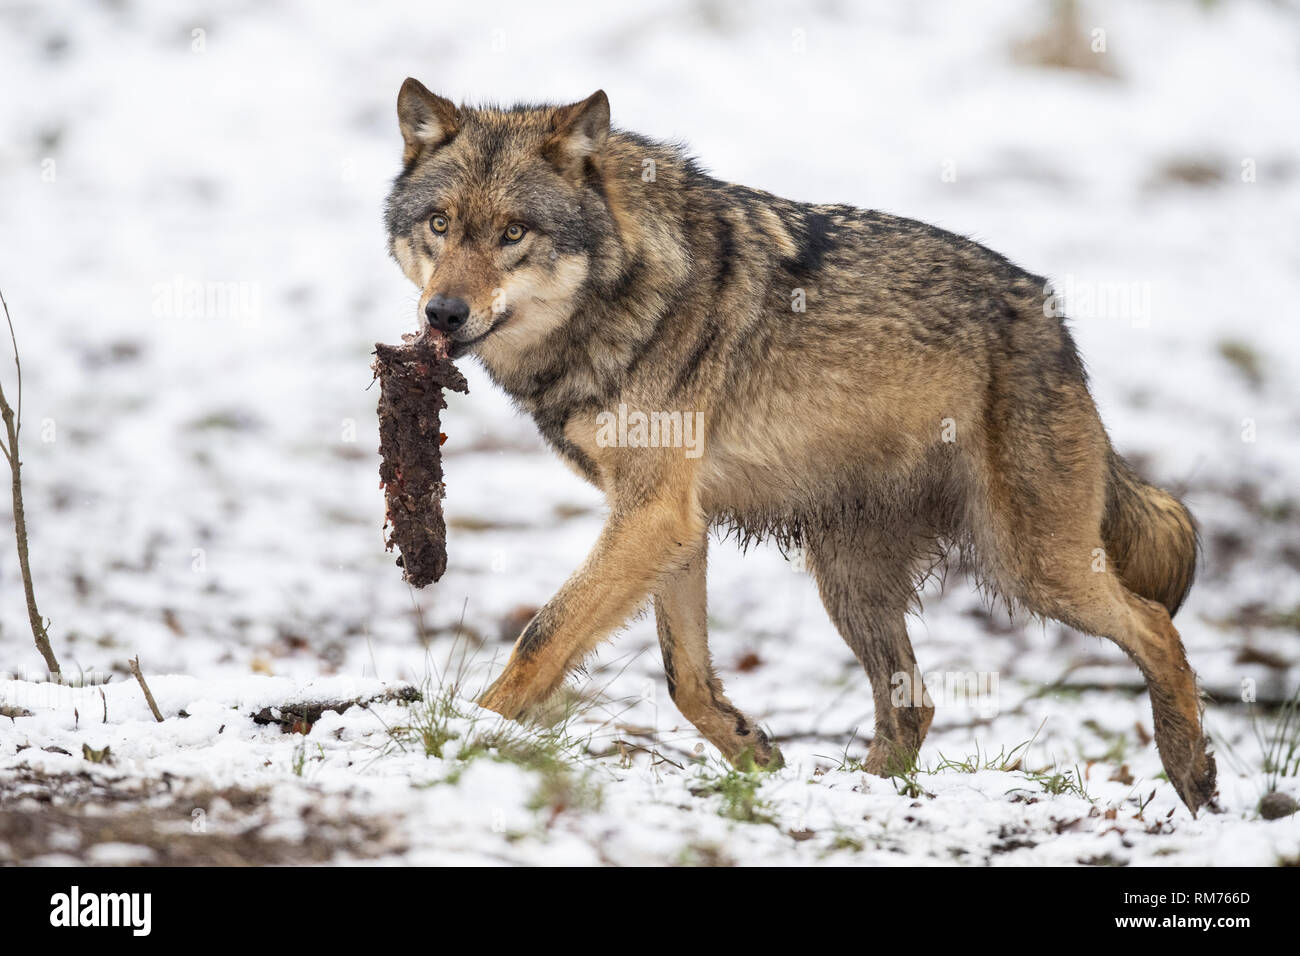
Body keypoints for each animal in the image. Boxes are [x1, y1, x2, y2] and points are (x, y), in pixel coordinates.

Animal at [379, 80, 1211, 816]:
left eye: (514, 232)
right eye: (441, 225)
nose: (442, 313)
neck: (628, 290)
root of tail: (1052, 317)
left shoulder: (652, 516)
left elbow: (541, 637)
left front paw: (470, 737)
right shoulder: (672, 525)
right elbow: (685, 678)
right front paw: (755, 754)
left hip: (1030, 565)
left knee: (1156, 626)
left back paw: (1194, 775)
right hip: (851, 580)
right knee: (913, 704)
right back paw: (865, 800)